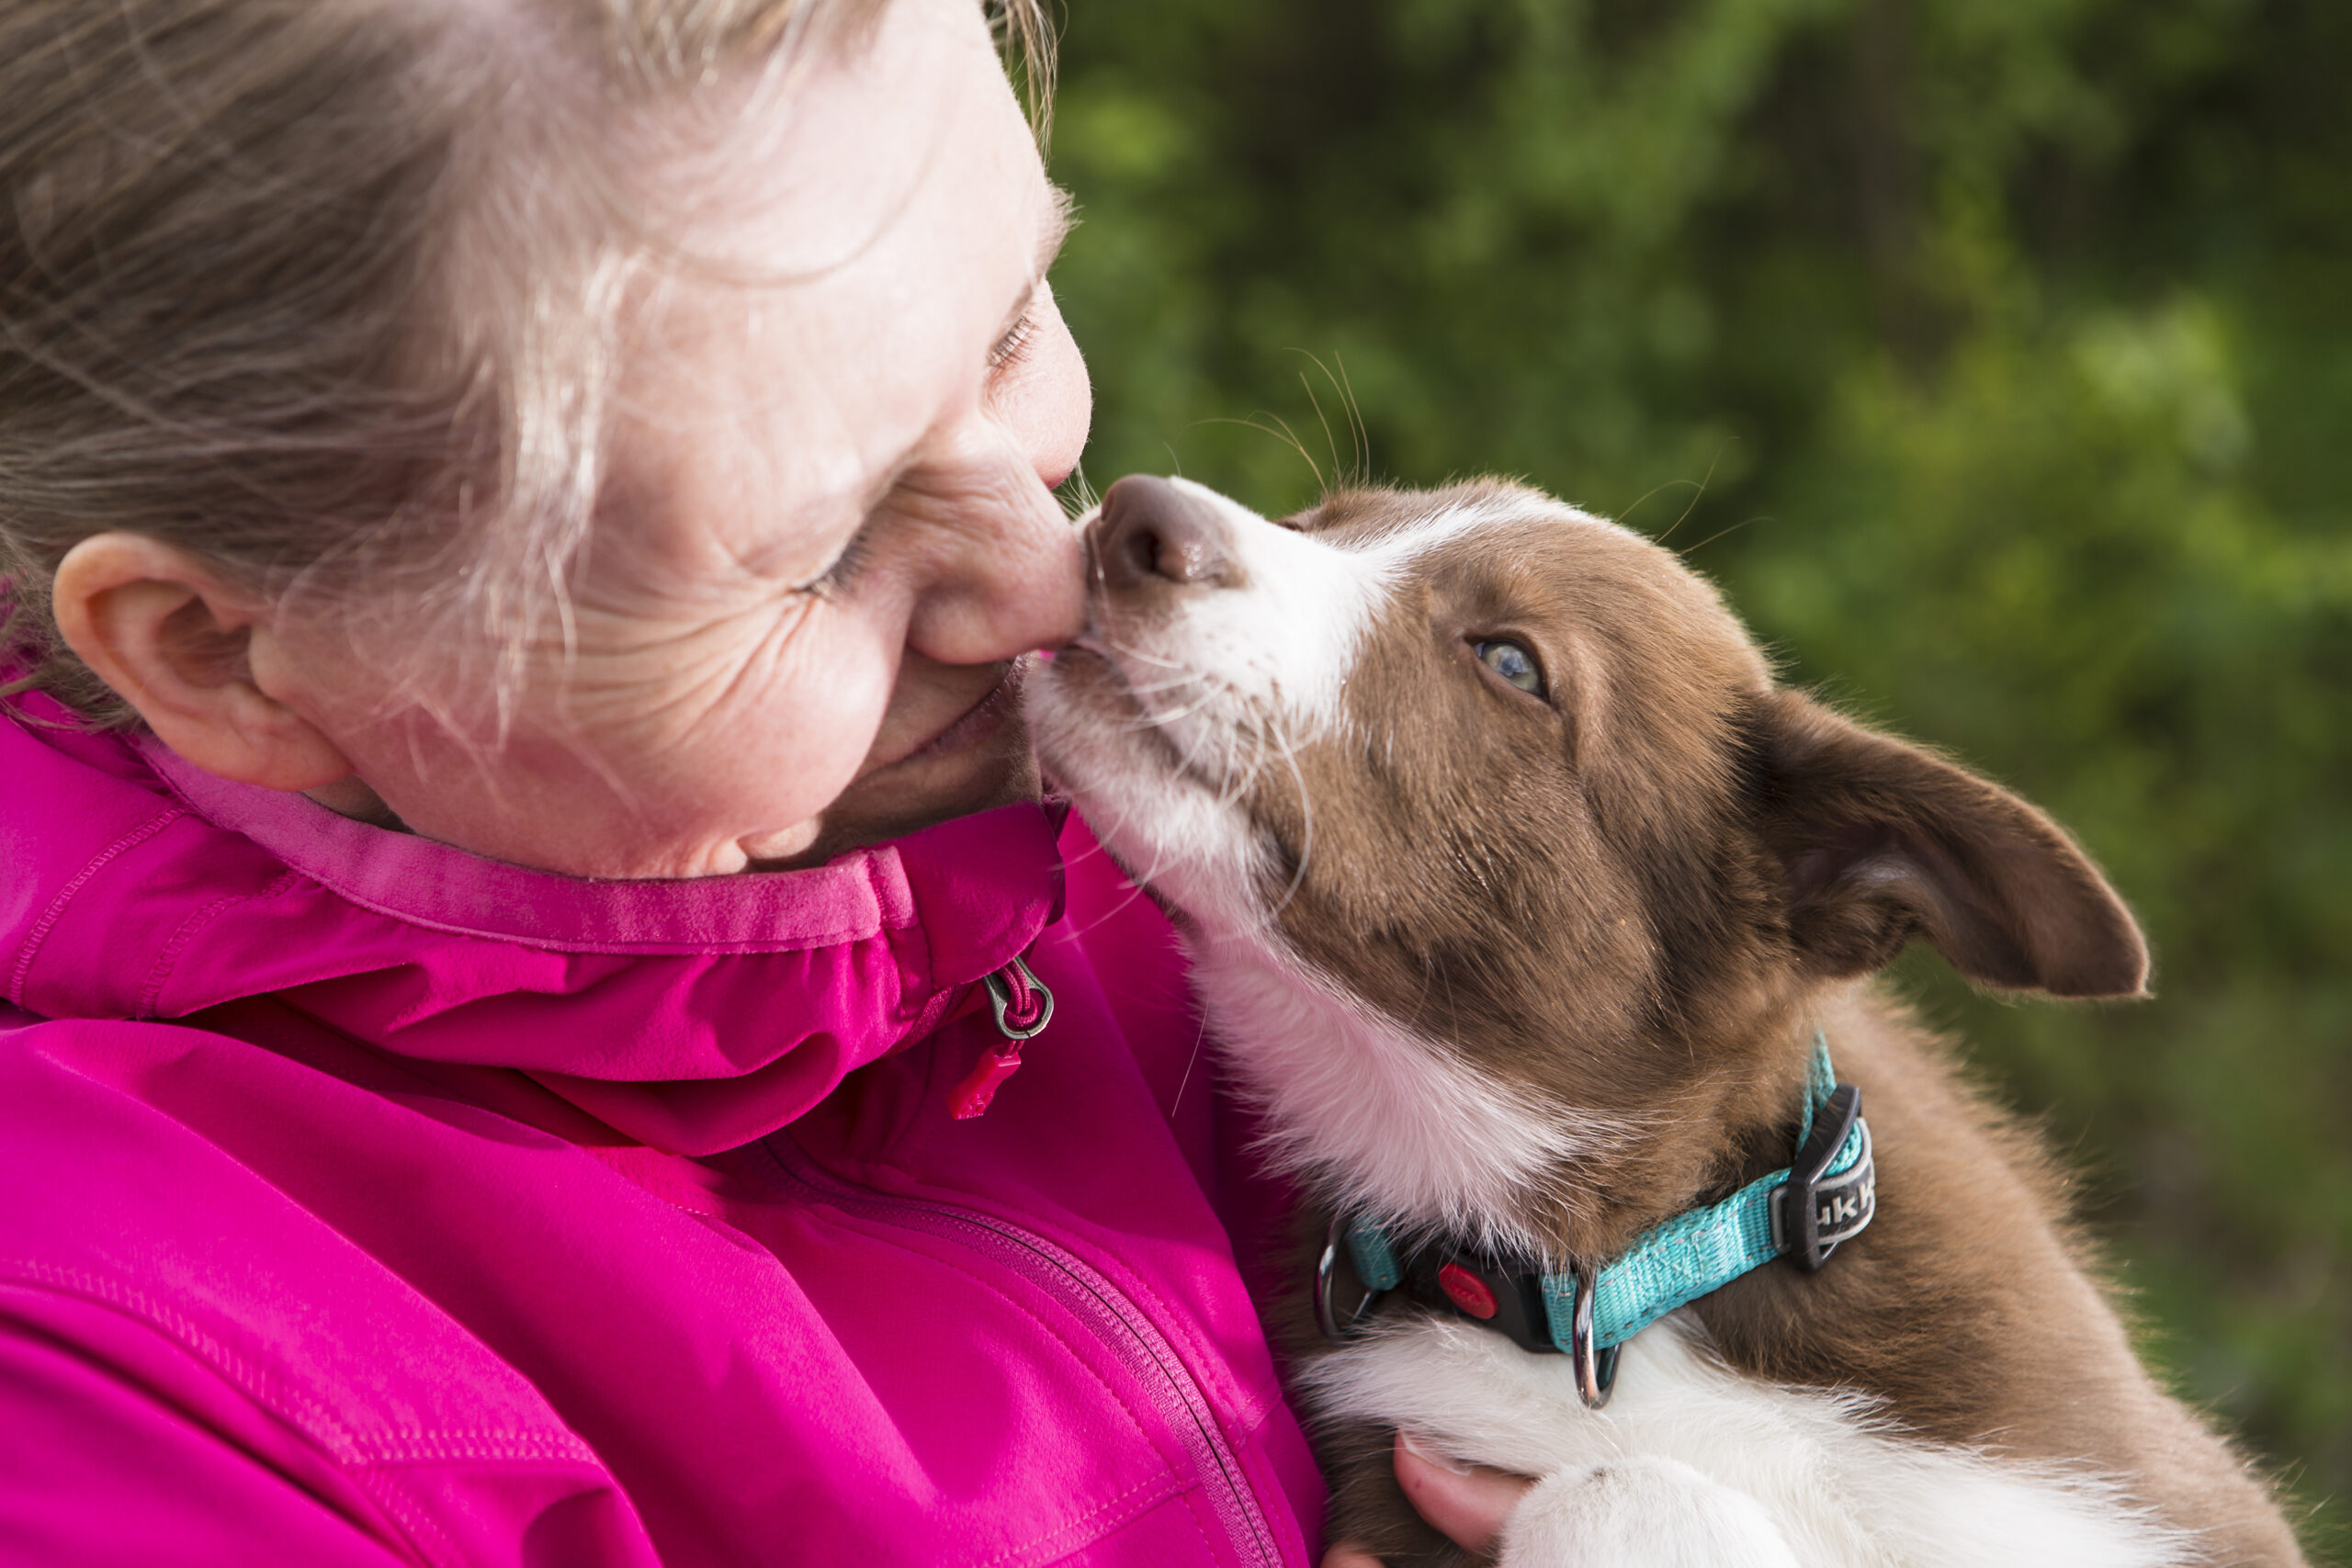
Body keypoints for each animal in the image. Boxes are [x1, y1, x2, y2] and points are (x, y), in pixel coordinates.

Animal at [1025, 479, 2295, 1568]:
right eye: (1312, 522)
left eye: (1509, 661)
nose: (1135, 513)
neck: (1618, 1279)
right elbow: (1613, 1490)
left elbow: (1615, 1487)